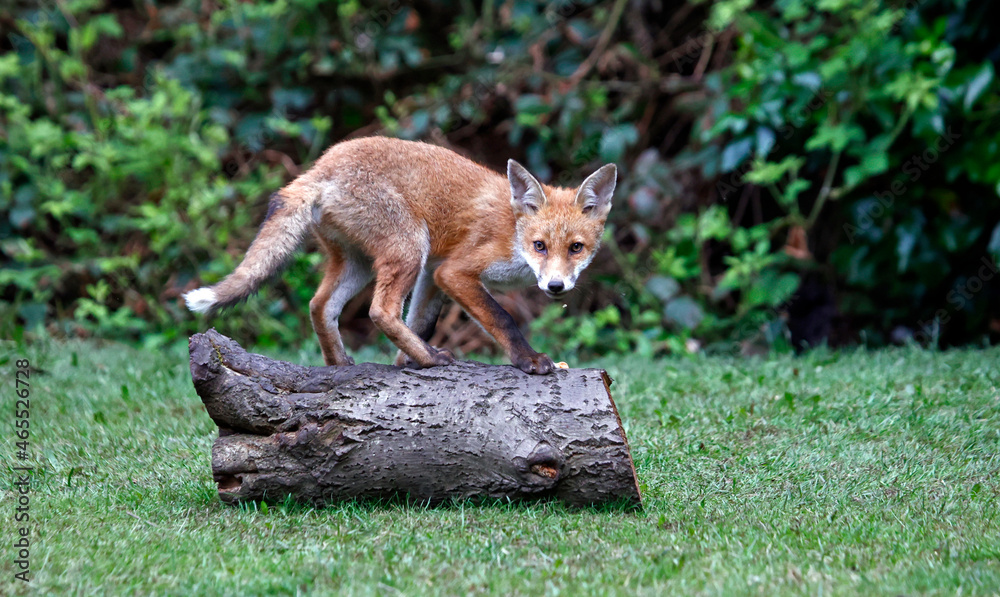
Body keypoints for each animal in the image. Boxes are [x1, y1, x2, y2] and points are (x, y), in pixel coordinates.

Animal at [184, 136, 616, 375]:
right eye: (539, 246)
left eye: (575, 248)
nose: (556, 286)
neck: (512, 232)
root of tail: (321, 167)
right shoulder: (455, 271)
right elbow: (502, 318)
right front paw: (528, 360)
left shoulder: (434, 273)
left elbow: (421, 320)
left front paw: (402, 364)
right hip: (409, 247)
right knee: (380, 311)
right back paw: (431, 361)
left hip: (359, 263)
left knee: (320, 305)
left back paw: (340, 366)